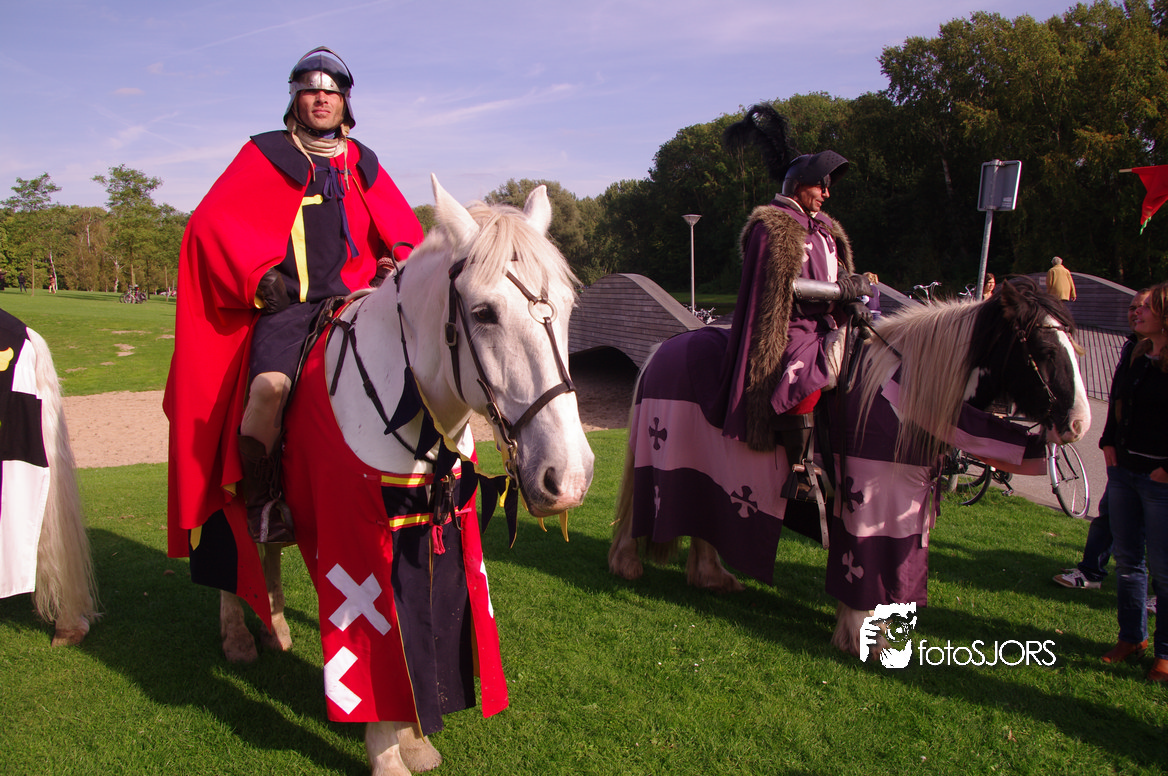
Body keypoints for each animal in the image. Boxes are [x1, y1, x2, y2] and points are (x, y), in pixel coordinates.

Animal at [217, 176, 594, 775]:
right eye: (484, 312)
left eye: (566, 305)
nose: (570, 477)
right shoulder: (355, 543)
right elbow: (377, 642)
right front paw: (387, 751)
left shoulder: (430, 527)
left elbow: (421, 636)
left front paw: (415, 737)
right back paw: (237, 635)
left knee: (267, 546)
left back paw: (274, 626)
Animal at [609, 276, 1090, 658]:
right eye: (1045, 349)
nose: (1079, 424)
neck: (902, 398)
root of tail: (662, 349)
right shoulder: (870, 503)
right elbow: (860, 565)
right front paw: (862, 636)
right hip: (661, 449)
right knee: (637, 509)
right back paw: (627, 562)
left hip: (712, 471)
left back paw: (711, 575)